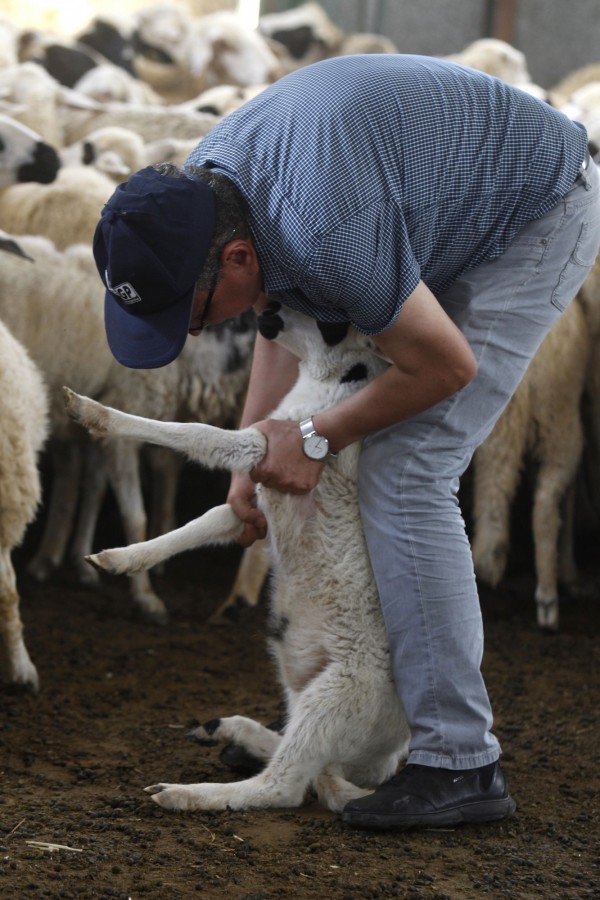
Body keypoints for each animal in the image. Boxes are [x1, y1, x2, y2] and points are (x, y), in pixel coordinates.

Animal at [64, 304, 412, 816]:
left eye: (329, 320)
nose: (270, 312)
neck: (329, 379)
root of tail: (392, 750)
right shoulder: (257, 502)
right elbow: (205, 521)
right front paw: (117, 560)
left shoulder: (262, 445)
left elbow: (197, 435)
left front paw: (92, 412)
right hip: (302, 695)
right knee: (310, 770)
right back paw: (226, 731)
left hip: (333, 698)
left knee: (284, 786)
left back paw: (183, 792)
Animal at [468, 298, 592, 628]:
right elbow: (568, 498)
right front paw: (569, 575)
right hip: (558, 422)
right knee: (546, 507)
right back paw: (548, 600)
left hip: (496, 429)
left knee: (494, 499)